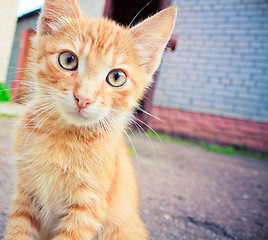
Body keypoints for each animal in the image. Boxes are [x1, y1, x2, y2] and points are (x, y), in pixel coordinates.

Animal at [4, 0, 178, 239]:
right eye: (68, 60)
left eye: (117, 77)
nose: (83, 98)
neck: (63, 136)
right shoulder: (25, 194)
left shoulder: (87, 208)